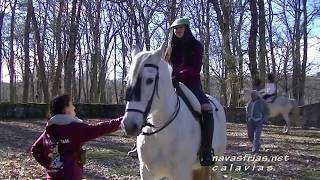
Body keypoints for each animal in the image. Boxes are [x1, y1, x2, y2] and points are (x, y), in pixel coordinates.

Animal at [120, 45, 228, 180]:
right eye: (126, 81)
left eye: (150, 80)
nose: (129, 125)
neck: (159, 133)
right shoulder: (146, 172)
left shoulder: (181, 172)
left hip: (217, 164)